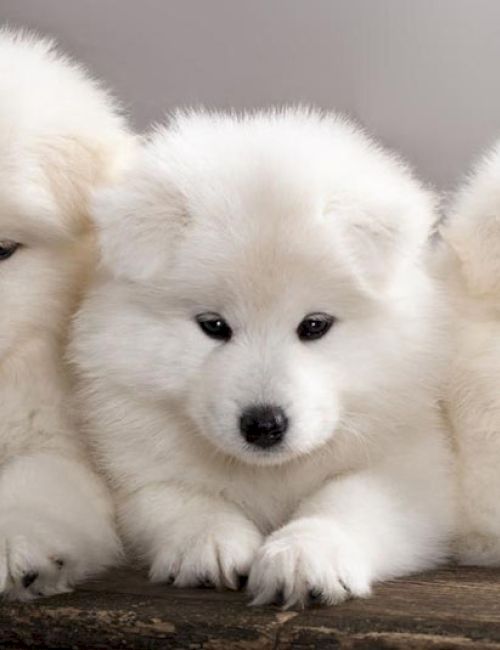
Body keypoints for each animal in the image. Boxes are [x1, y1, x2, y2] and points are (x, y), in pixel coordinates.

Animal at [71, 109, 458, 612]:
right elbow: (176, 496)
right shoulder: (132, 464)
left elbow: (347, 499)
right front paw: (210, 542)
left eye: (314, 325)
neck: (269, 473)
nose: (263, 426)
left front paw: (304, 556)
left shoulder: (411, 469)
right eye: (214, 326)